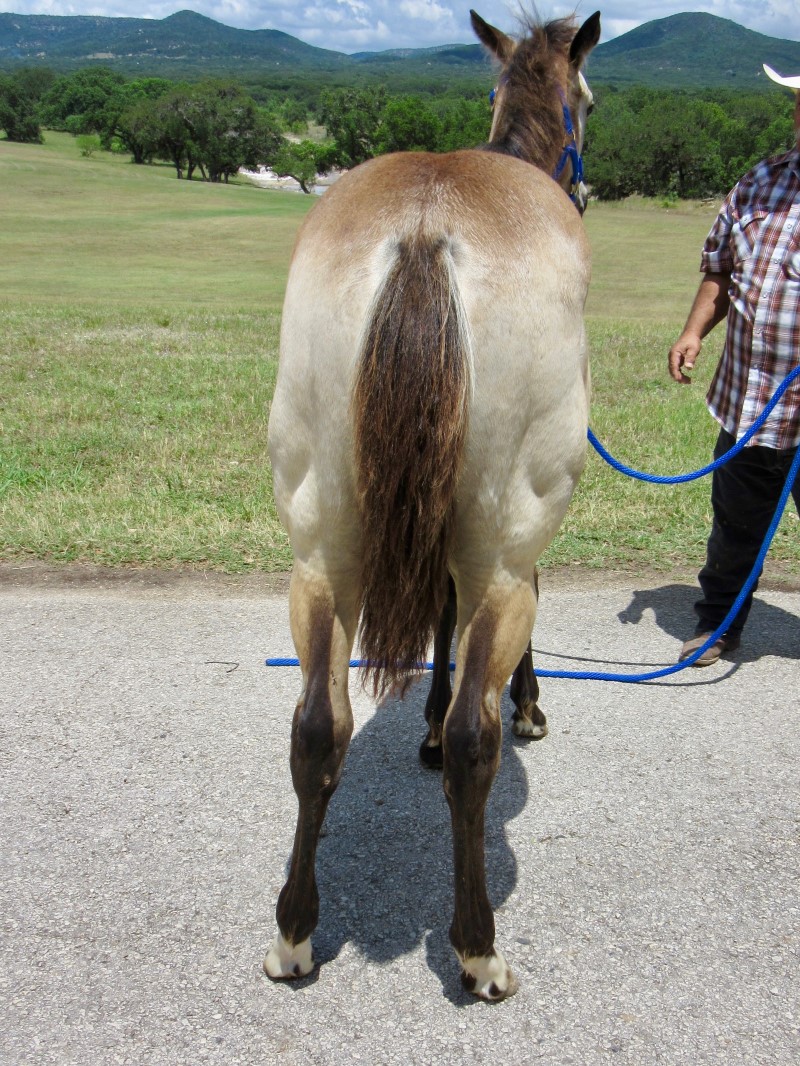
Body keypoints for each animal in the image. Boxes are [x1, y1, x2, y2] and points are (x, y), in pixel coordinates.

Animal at [264, 10, 601, 997]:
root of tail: (424, 230)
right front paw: (526, 704)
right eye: (591, 97)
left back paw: (295, 932)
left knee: (316, 726)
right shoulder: (510, 547)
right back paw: (477, 943)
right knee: (471, 746)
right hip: (502, 552)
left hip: (323, 553)